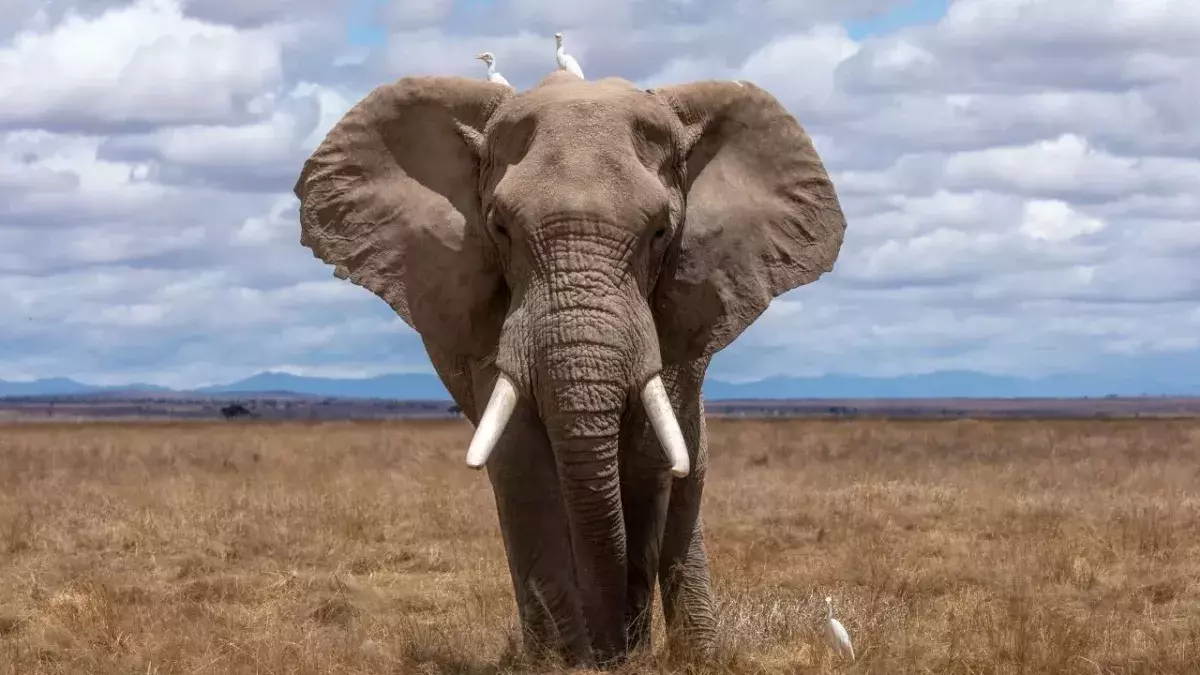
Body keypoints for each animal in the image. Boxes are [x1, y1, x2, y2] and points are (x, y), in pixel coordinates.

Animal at [292, 68, 848, 668]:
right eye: (500, 229)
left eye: (661, 232)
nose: (613, 653)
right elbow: (521, 464)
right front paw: (564, 662)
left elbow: (649, 462)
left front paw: (625, 656)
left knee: (688, 475)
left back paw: (699, 654)